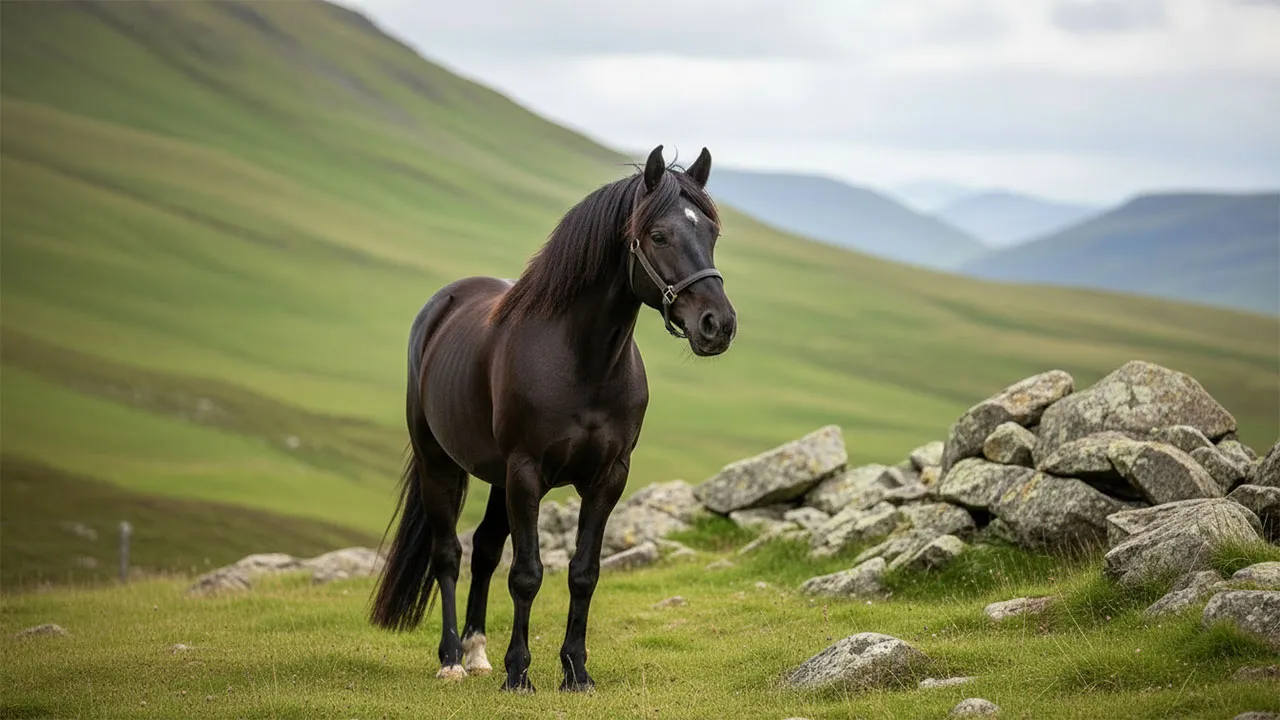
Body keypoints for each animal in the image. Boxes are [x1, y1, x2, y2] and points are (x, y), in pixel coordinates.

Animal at [368, 145, 737, 693]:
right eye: (659, 235)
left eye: (710, 233)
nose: (719, 325)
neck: (582, 361)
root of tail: (443, 303)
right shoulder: (526, 472)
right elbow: (527, 574)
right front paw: (519, 673)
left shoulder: (608, 478)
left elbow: (583, 572)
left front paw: (576, 671)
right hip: (440, 464)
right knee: (449, 555)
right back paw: (452, 658)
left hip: (496, 477)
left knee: (484, 549)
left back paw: (477, 653)